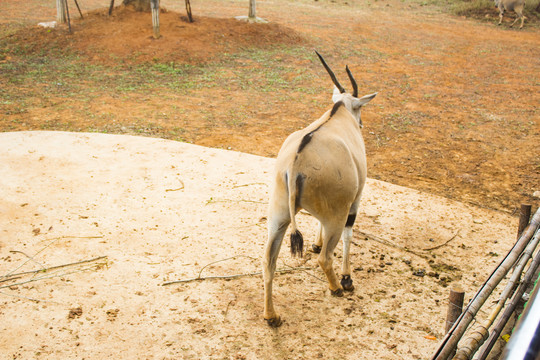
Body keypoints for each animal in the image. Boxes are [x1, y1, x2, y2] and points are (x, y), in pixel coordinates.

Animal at [262, 50, 376, 326]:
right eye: (359, 107)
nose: (362, 124)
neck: (339, 112)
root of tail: (295, 163)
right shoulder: (353, 202)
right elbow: (348, 236)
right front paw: (347, 277)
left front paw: (315, 243)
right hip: (337, 215)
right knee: (325, 257)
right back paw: (337, 287)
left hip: (279, 217)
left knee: (269, 262)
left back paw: (272, 316)